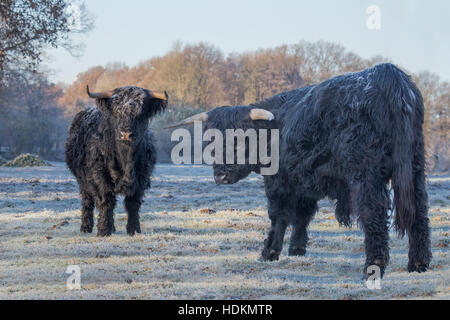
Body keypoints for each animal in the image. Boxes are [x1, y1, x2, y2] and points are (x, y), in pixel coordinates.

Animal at [65, 86, 167, 236]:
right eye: (116, 113)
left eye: (141, 113)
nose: (126, 134)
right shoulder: (99, 176)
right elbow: (106, 201)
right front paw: (104, 230)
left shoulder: (142, 177)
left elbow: (133, 203)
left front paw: (134, 229)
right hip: (82, 180)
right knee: (87, 201)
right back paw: (86, 227)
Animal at [170, 63, 432, 278]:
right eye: (209, 141)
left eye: (239, 140)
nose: (220, 175)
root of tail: (388, 73)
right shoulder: (305, 180)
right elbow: (303, 216)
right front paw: (296, 249)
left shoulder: (277, 180)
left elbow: (279, 215)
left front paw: (269, 252)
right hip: (415, 168)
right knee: (419, 210)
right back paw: (418, 263)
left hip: (366, 173)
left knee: (373, 212)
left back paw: (373, 267)